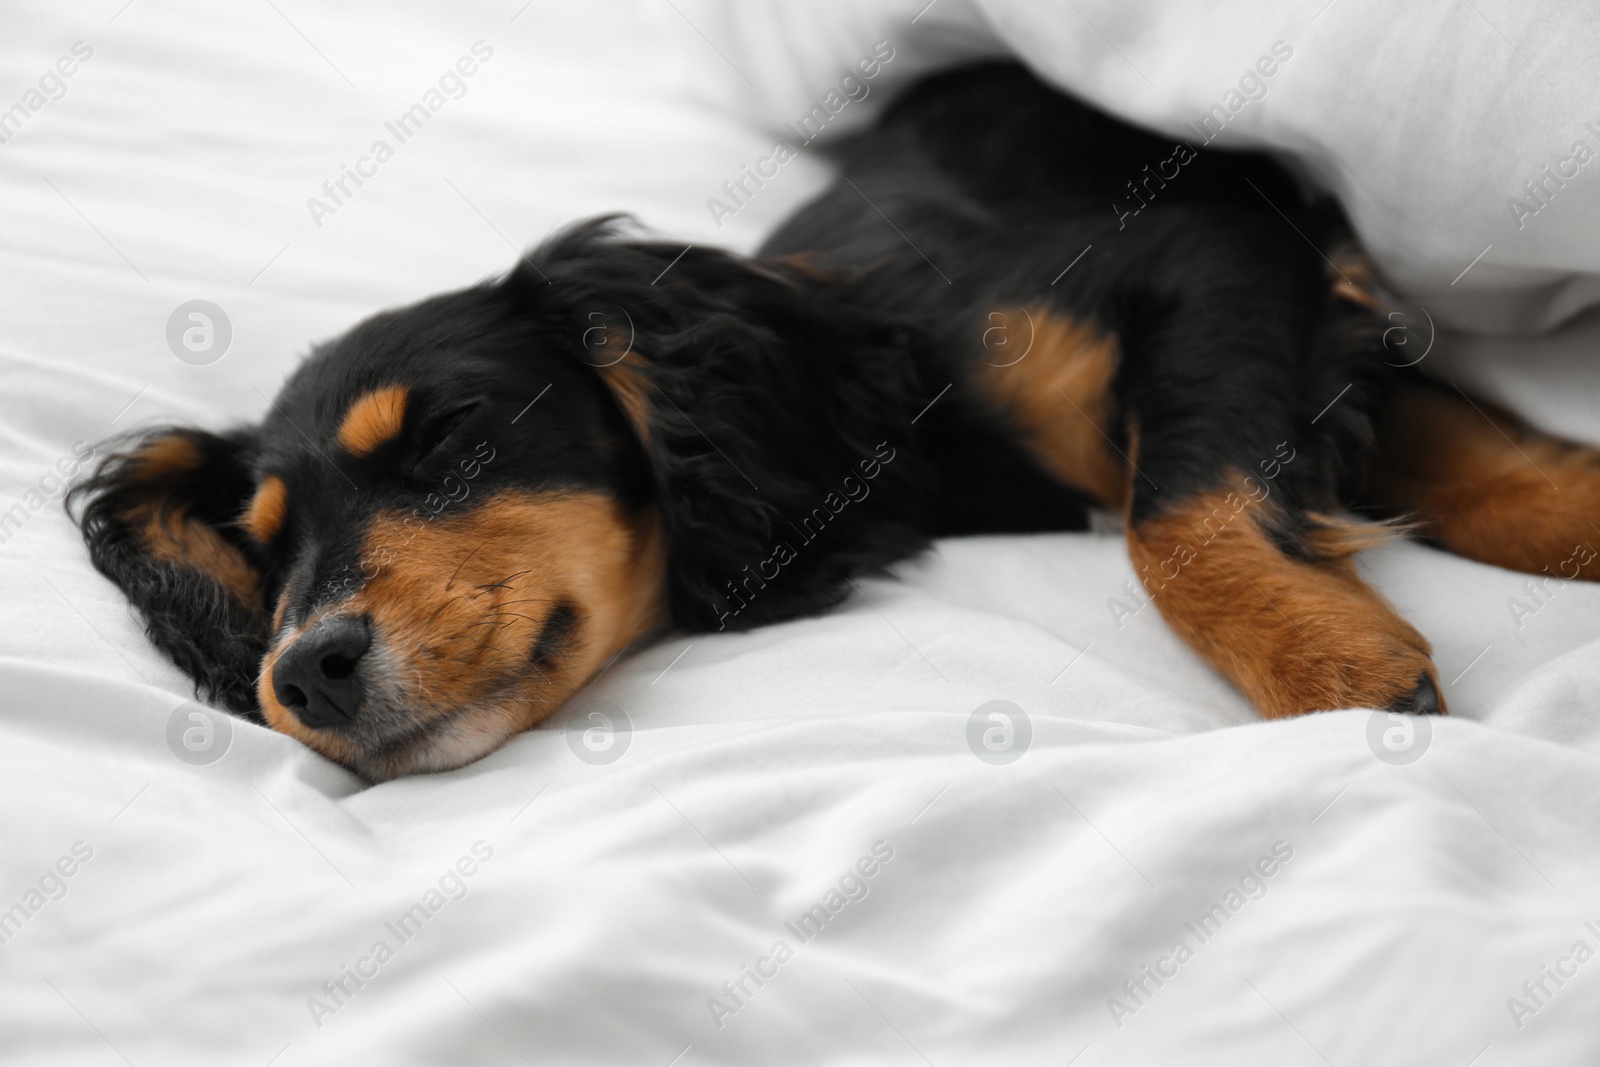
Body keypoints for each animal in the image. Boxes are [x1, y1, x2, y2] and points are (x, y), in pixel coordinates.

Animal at [75, 62, 1600, 780]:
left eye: (447, 438)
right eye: (265, 551)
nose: (306, 670)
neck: (890, 371)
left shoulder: (1218, 262)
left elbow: (1171, 514)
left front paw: (1323, 660)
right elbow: (1458, 458)